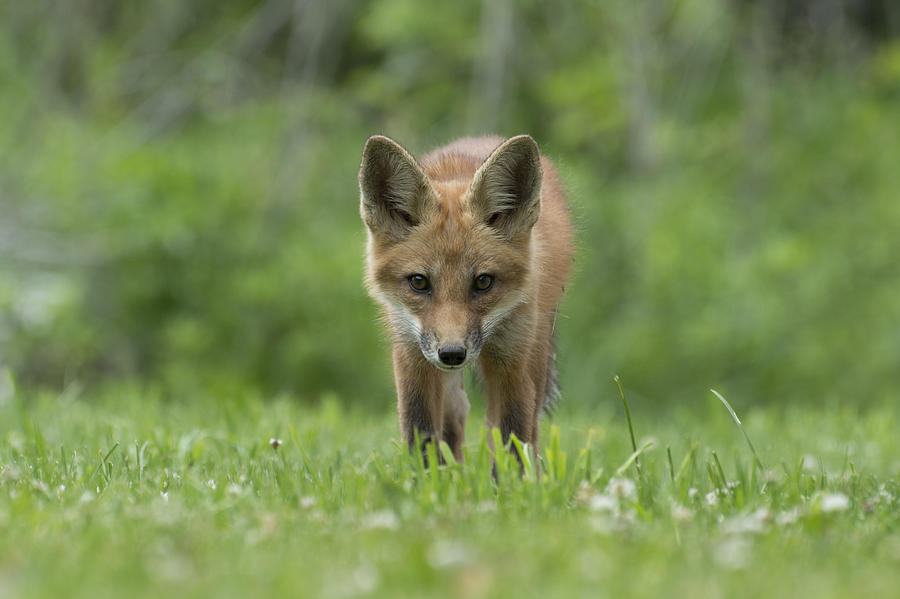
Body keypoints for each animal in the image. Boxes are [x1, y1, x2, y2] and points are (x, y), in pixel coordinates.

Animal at [356, 135, 572, 464]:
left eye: (483, 282)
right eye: (418, 282)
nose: (452, 354)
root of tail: (485, 138)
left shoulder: (513, 361)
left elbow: (512, 440)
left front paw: (511, 480)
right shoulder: (412, 355)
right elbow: (420, 433)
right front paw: (426, 478)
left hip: (534, 352)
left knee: (518, 426)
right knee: (457, 413)